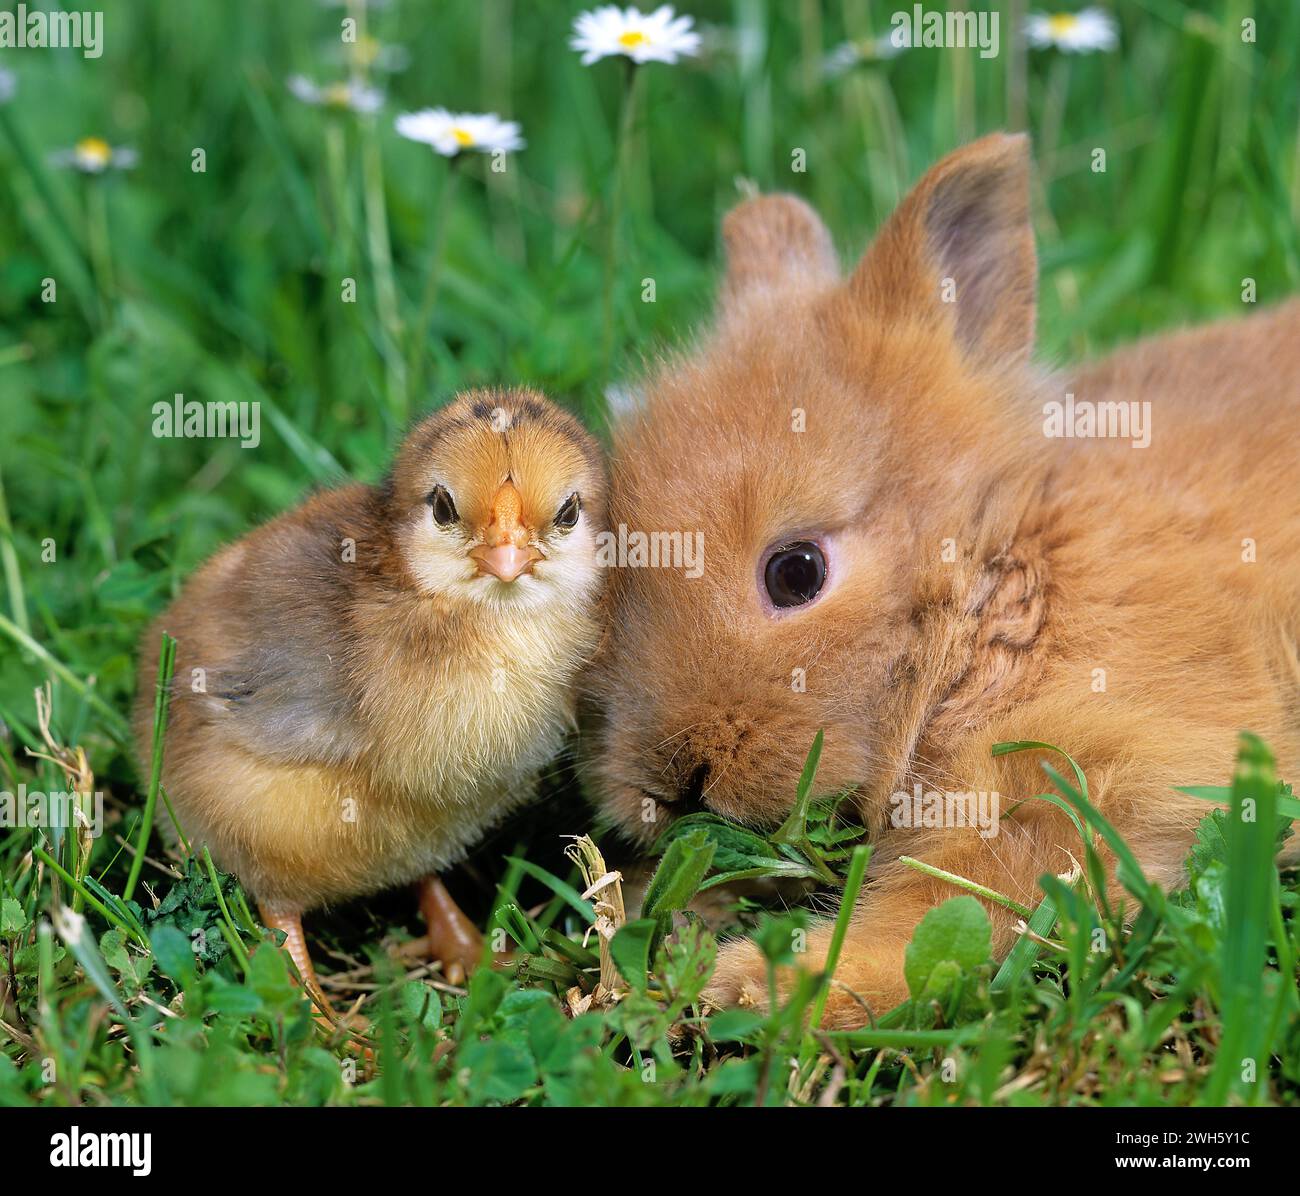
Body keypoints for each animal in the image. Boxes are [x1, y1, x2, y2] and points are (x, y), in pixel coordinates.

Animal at [584, 133, 1300, 1027]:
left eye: (796, 572)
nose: (678, 779)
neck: (1002, 576)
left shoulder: (1092, 775)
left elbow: (961, 903)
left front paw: (765, 982)